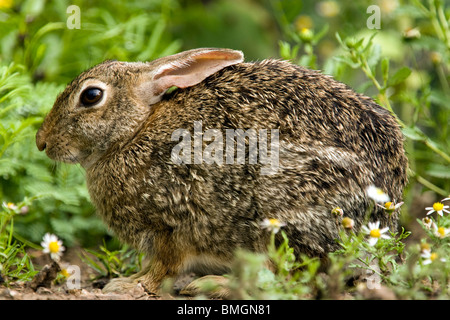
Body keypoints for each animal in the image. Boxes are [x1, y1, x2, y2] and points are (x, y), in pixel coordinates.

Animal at [35, 47, 408, 296]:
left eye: (91, 96)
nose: (41, 142)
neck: (133, 133)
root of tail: (381, 218)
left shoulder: (170, 224)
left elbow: (162, 268)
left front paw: (127, 286)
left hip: (280, 212)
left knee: (291, 279)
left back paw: (214, 285)